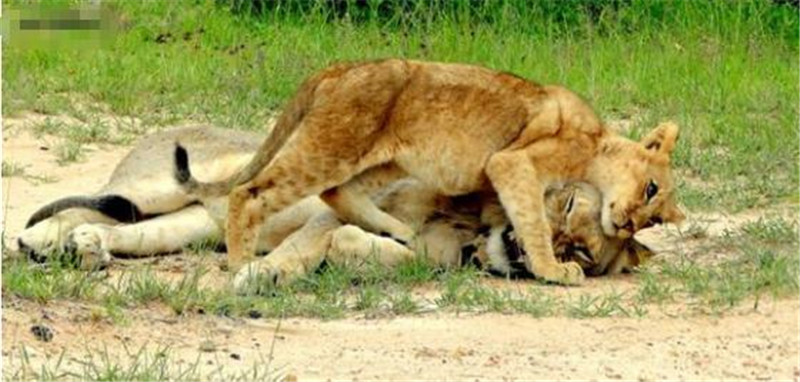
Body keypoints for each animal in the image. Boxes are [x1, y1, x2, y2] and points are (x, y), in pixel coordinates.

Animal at [178, 59, 684, 284]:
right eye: (650, 188)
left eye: (652, 220)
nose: (626, 222)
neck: (597, 141)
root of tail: (337, 68)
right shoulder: (513, 162)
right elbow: (534, 223)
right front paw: (553, 270)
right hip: (331, 148)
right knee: (248, 191)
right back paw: (241, 264)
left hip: (382, 159)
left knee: (338, 194)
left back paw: (398, 229)